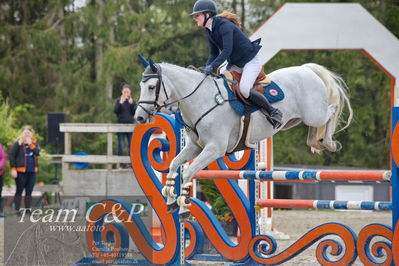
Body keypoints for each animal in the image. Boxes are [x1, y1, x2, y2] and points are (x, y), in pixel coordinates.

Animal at [135, 55, 354, 219]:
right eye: (141, 85)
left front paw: (183, 210)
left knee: (332, 110)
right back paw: (316, 142)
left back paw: (329, 143)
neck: (200, 99)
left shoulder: (214, 149)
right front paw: (171, 201)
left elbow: (188, 173)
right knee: (315, 127)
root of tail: (306, 69)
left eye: (152, 87)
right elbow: (173, 165)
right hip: (298, 119)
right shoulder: (195, 147)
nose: (139, 117)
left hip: (314, 114)